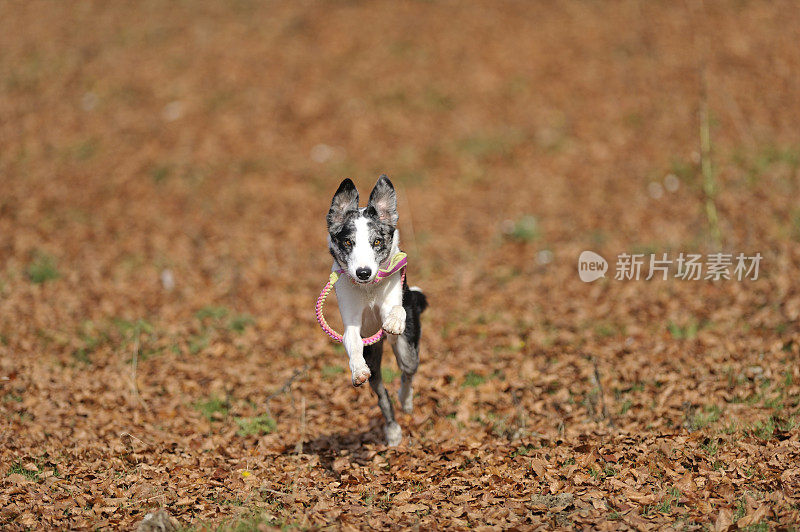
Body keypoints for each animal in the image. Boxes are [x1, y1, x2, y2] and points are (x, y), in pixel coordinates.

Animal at [324, 175, 428, 444]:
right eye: (348, 242)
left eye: (377, 241)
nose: (363, 272)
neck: (369, 291)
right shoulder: (352, 323)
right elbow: (352, 343)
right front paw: (358, 371)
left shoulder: (394, 298)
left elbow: (396, 310)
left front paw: (393, 322)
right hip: (374, 355)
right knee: (382, 396)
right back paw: (392, 431)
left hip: (408, 350)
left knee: (407, 371)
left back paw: (406, 401)